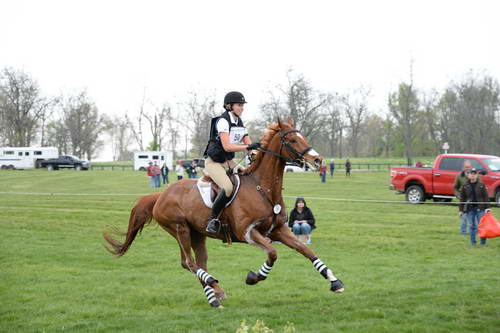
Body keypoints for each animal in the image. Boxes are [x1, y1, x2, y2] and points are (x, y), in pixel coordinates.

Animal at [103, 118, 342, 306]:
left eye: (301, 136)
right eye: (292, 140)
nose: (318, 160)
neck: (261, 188)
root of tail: (161, 194)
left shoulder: (278, 230)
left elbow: (307, 250)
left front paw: (334, 281)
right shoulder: (248, 232)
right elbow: (273, 253)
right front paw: (254, 277)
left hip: (197, 234)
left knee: (197, 263)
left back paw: (215, 295)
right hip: (179, 229)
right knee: (188, 263)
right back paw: (213, 286)